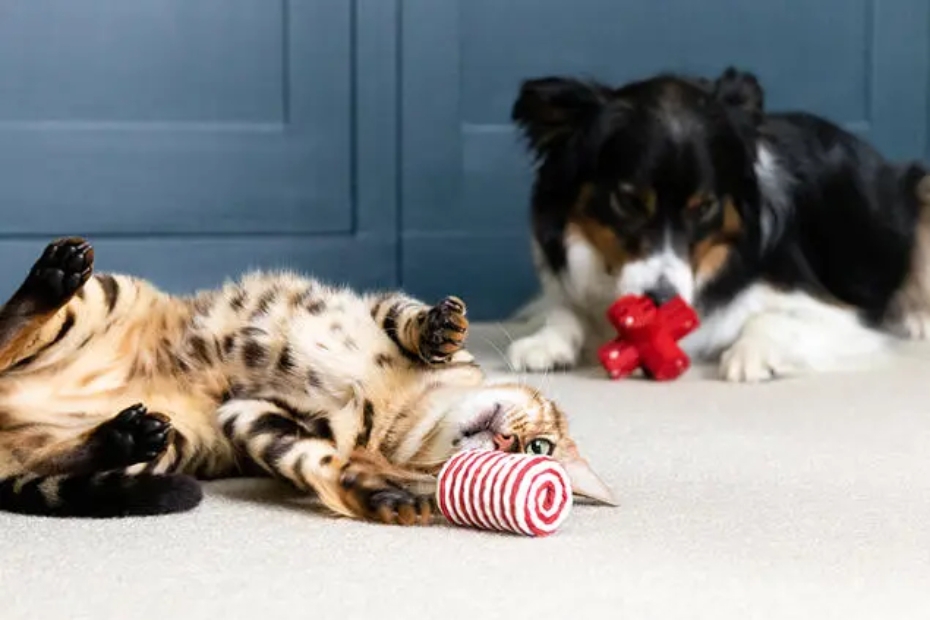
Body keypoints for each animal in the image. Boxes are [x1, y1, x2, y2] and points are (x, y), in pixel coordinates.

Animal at [0, 237, 616, 524]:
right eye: (540, 446)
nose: (508, 441)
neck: (411, 409)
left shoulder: (251, 416)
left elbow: (317, 462)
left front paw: (376, 495)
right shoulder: (377, 307)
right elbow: (409, 318)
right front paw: (440, 329)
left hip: (172, 445)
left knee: (64, 457)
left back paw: (121, 435)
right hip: (107, 294)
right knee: (6, 331)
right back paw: (55, 274)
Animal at [504, 65, 928, 380]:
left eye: (704, 207)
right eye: (627, 200)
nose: (661, 302)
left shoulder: (838, 314)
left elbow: (771, 320)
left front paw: (750, 355)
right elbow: (561, 308)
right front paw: (546, 341)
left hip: (921, 186)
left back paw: (916, 318)